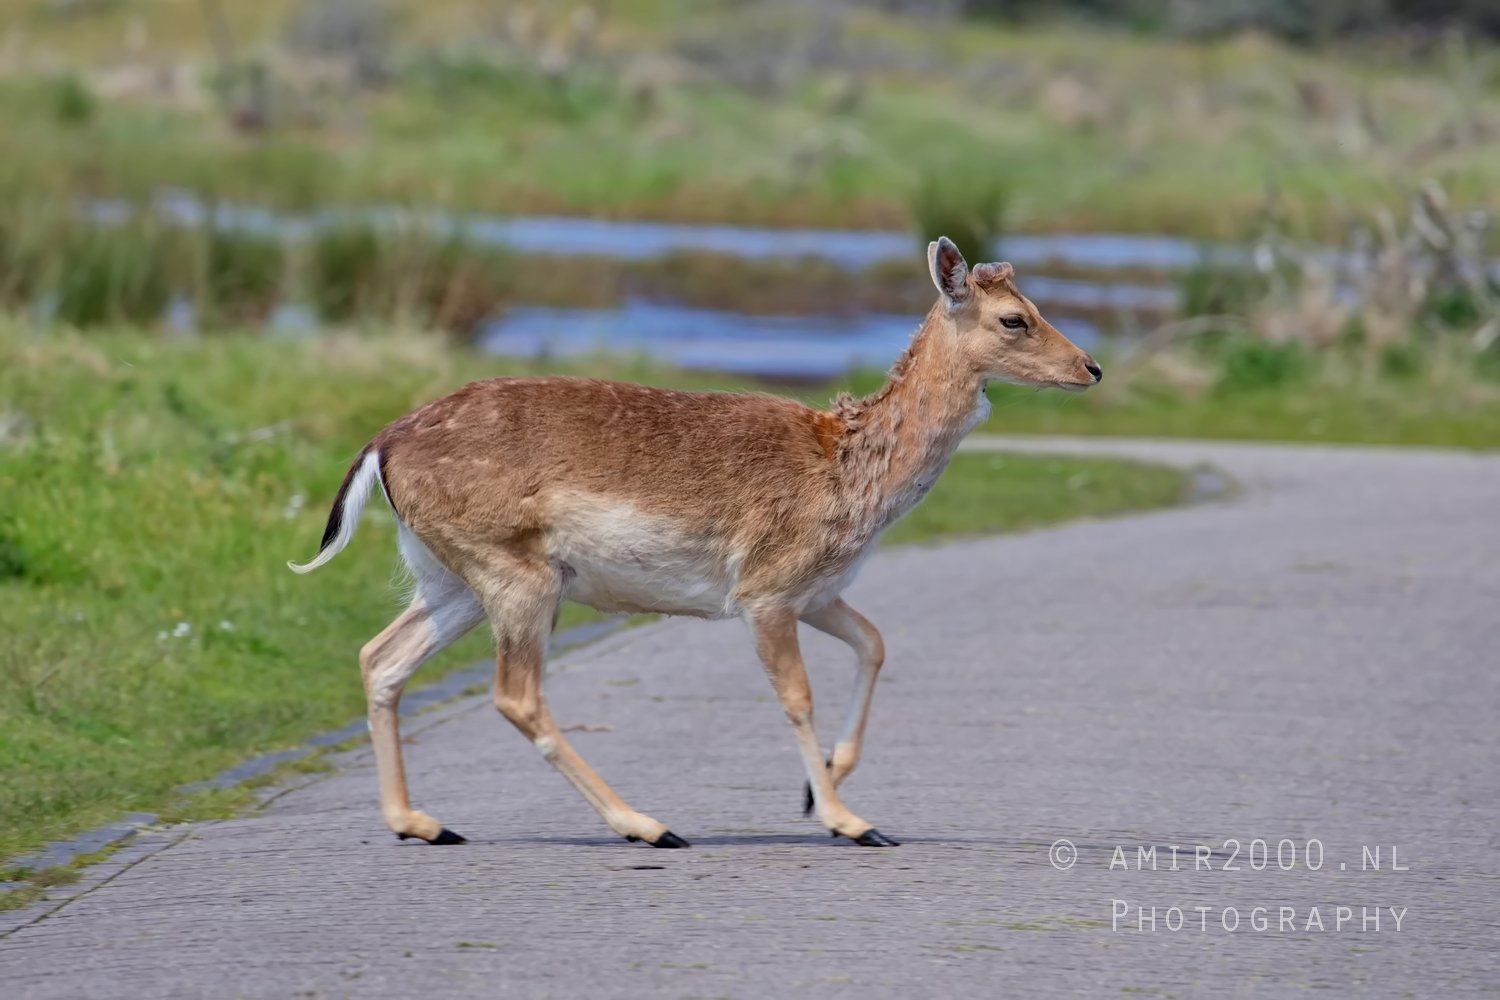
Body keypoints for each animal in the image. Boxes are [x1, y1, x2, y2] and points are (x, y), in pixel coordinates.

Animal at [289, 237, 1102, 849]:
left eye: (1033, 308)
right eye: (1015, 319)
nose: (1091, 366)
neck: (853, 475)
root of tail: (380, 445)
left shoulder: (818, 591)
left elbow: (875, 644)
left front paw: (819, 791)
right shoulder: (766, 589)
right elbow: (797, 695)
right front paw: (849, 820)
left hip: (449, 577)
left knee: (380, 656)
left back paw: (421, 823)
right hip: (517, 575)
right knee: (515, 695)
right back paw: (648, 825)